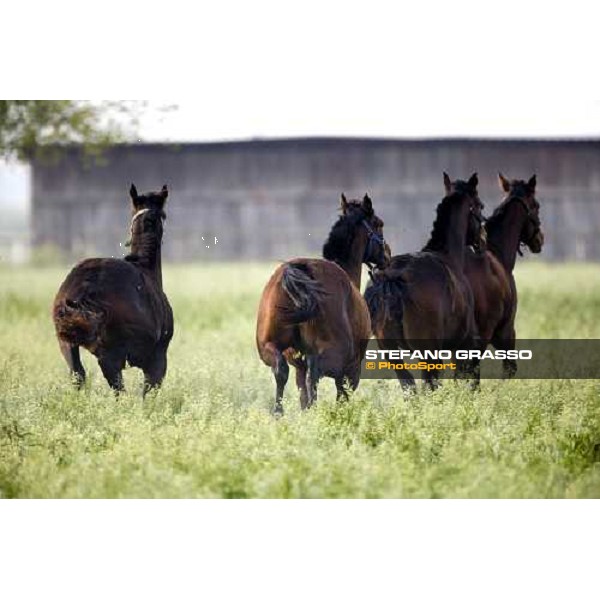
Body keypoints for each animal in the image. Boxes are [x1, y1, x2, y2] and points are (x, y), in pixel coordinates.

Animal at [51, 185, 175, 396]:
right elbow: (148, 393)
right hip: (111, 355)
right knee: (119, 389)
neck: (145, 268)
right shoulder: (157, 359)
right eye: (164, 215)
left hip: (67, 345)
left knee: (79, 376)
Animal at [256, 192, 390, 412]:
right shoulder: (350, 371)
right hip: (335, 360)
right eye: (379, 224)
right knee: (314, 373)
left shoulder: (298, 366)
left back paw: (278, 412)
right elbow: (341, 396)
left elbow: (302, 394)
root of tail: (300, 269)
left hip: (270, 346)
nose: (387, 255)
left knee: (281, 370)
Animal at [366, 173, 488, 390]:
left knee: (410, 386)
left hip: (391, 353)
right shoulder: (464, 344)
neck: (448, 257)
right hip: (429, 354)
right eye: (479, 205)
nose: (483, 240)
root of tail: (393, 278)